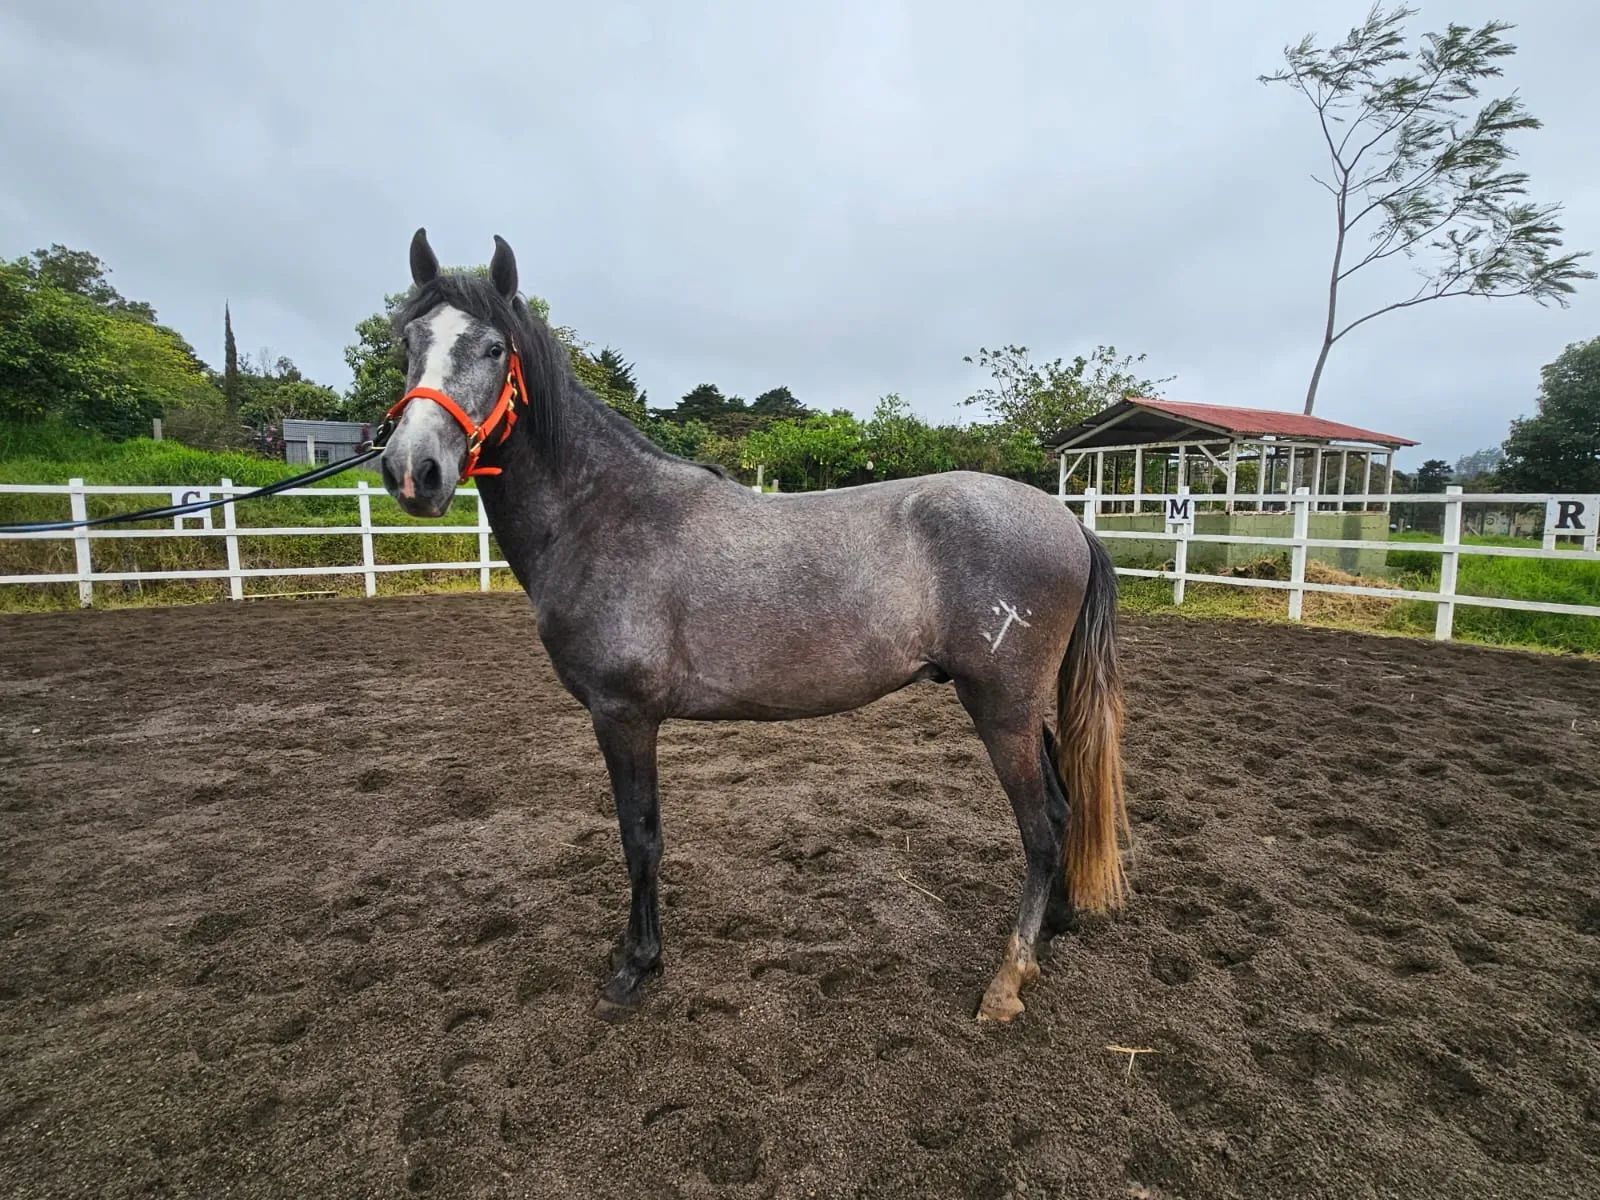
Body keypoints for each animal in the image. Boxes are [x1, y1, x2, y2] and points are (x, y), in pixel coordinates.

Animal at [377, 228, 1129, 1023]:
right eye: (409, 341)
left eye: (494, 348)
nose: (413, 470)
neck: (603, 512)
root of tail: (1069, 524)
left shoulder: (623, 715)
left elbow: (639, 837)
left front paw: (636, 966)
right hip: (1016, 706)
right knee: (1064, 809)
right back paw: (1053, 929)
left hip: (1001, 706)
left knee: (1041, 829)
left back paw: (1008, 978)